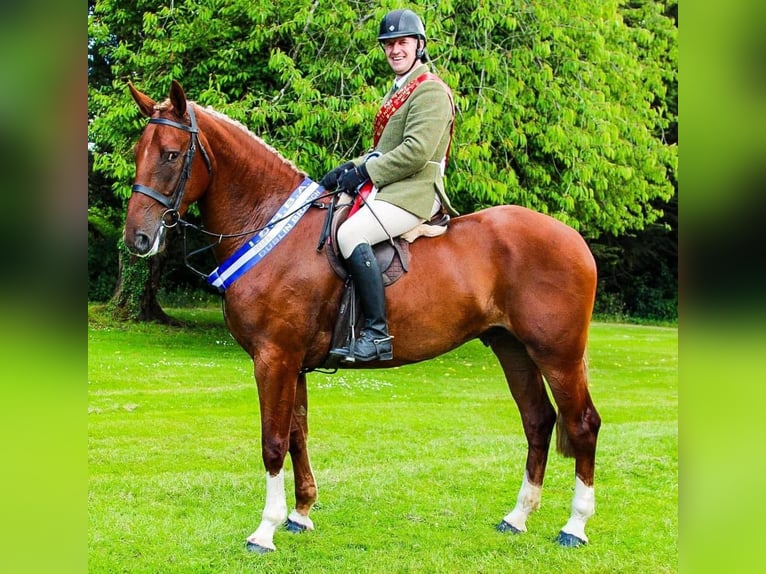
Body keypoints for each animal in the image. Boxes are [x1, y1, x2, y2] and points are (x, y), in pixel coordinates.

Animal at [123, 80, 604, 552]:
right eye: (136, 152)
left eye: (171, 154)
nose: (138, 238)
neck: (274, 229)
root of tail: (573, 237)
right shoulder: (293, 363)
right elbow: (297, 434)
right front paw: (300, 514)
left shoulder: (274, 358)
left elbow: (273, 442)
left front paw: (265, 529)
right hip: (512, 348)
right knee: (538, 420)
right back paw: (517, 517)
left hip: (557, 354)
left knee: (582, 424)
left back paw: (575, 526)